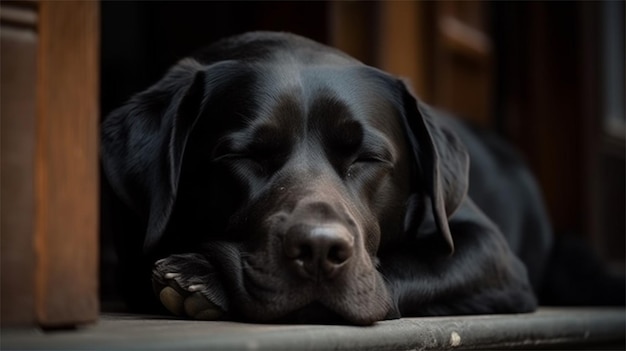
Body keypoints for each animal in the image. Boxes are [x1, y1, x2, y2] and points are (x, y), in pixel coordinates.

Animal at [101, 31, 620, 326]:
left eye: (367, 157)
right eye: (243, 155)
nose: (319, 250)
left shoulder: (494, 253)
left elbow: (411, 264)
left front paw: (200, 277)